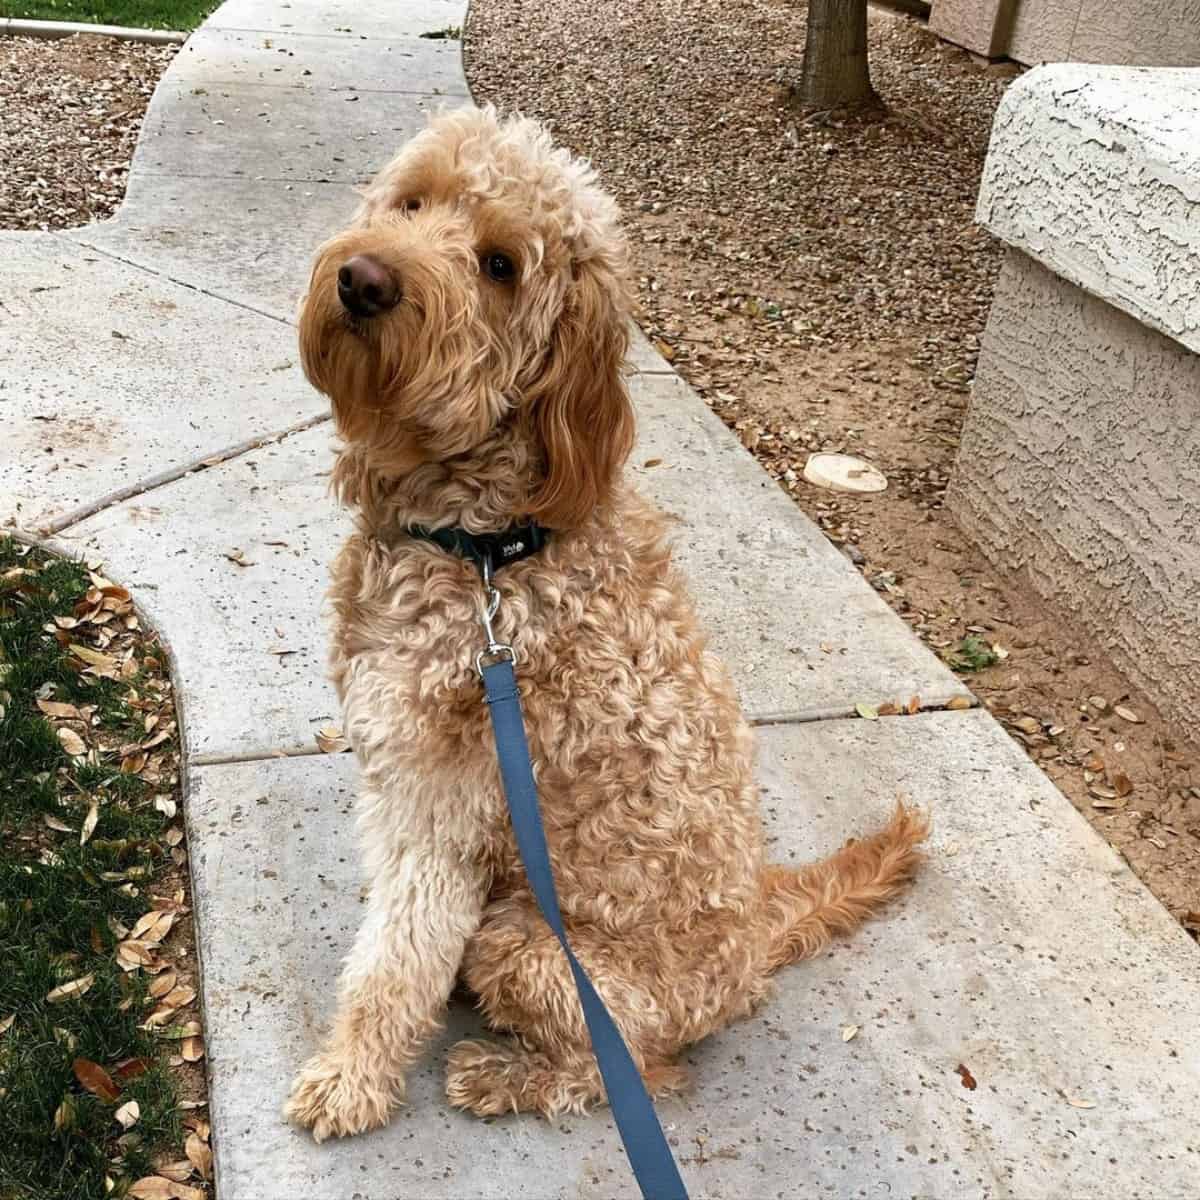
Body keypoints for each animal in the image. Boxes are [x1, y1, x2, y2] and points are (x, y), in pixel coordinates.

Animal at [283, 105, 926, 1142]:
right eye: (412, 200)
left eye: (500, 265)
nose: (364, 279)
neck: (486, 545)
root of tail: (756, 934)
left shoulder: (441, 802)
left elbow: (399, 957)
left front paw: (351, 1078)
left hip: (530, 948)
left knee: (643, 1074)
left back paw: (506, 1076)